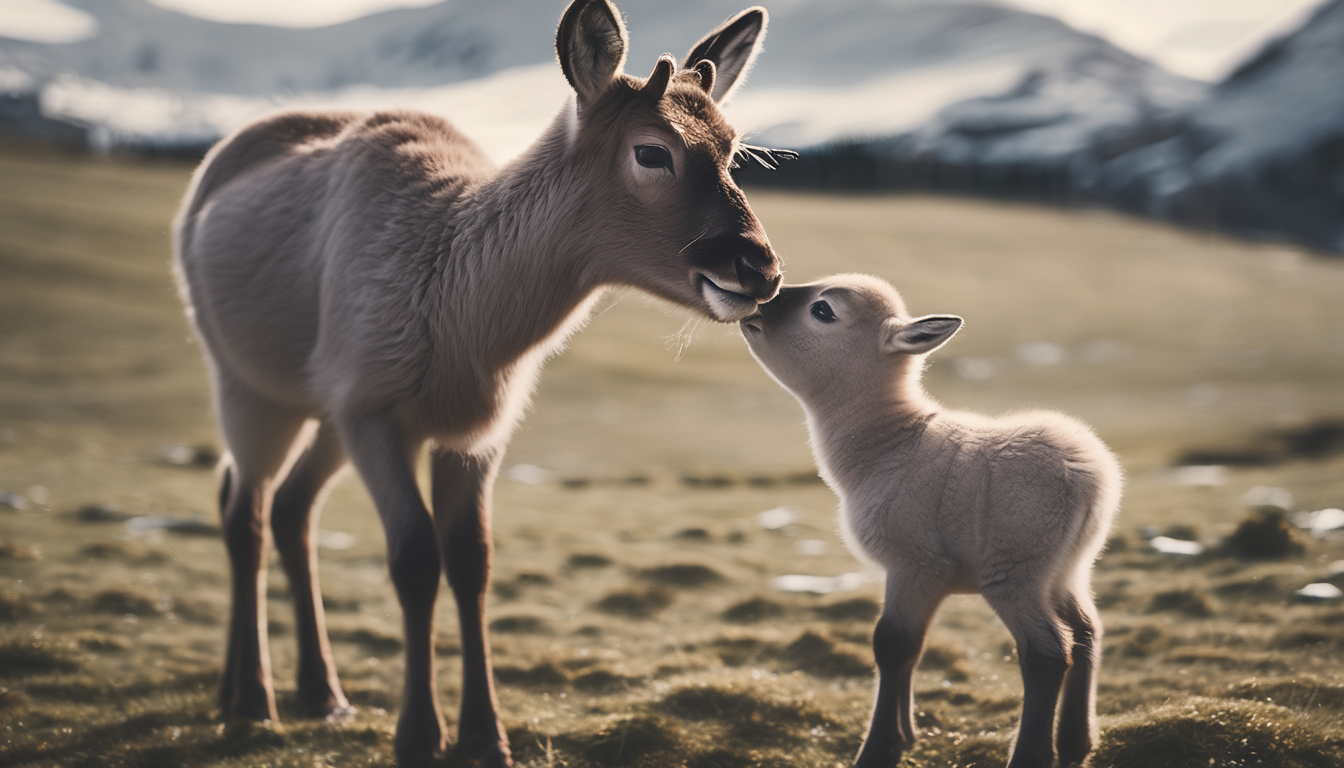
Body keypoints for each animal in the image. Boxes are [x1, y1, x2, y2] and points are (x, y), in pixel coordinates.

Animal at [171, 1, 782, 764]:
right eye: (651, 151)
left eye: (731, 149)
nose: (759, 267)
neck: (465, 327)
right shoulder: (372, 406)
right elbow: (413, 559)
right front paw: (417, 734)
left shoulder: (475, 430)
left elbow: (472, 561)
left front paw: (487, 737)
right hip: (246, 380)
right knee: (246, 509)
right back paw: (256, 698)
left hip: (322, 405)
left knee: (281, 506)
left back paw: (309, 691)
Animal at [739, 274, 1122, 768]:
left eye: (823, 311)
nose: (754, 303)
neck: (889, 440)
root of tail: (1088, 476)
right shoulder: (916, 574)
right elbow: (912, 650)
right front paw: (905, 734)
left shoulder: (917, 564)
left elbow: (892, 645)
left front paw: (880, 748)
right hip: (1065, 568)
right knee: (1087, 631)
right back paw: (1077, 742)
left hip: (1014, 570)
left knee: (1048, 653)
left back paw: (1033, 753)